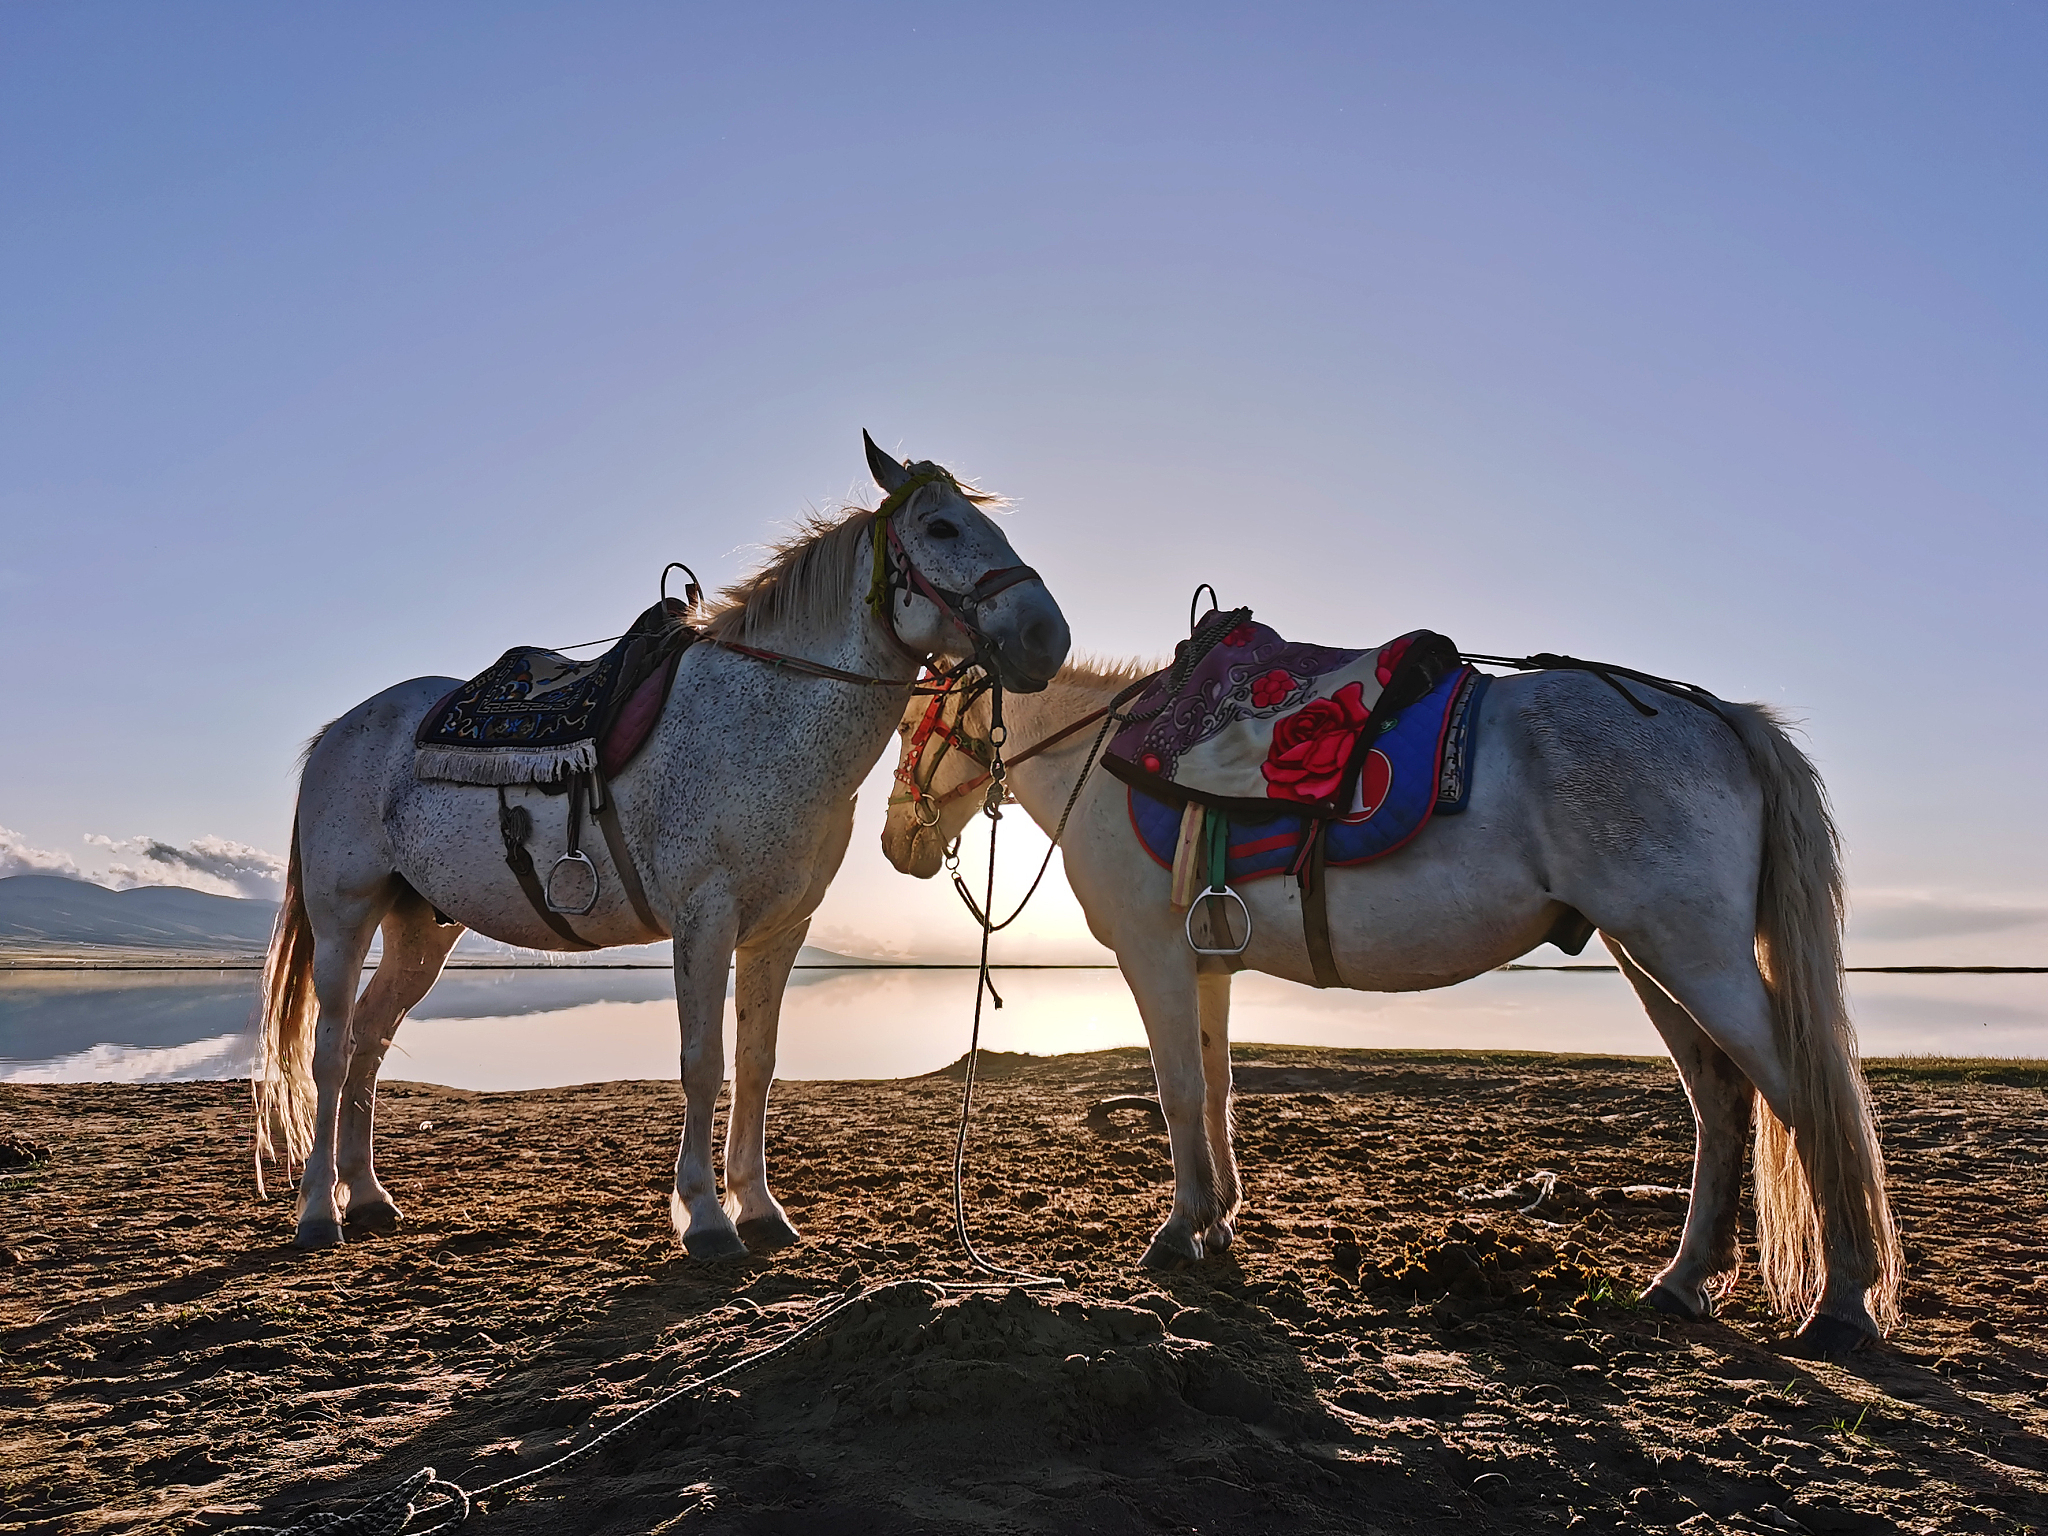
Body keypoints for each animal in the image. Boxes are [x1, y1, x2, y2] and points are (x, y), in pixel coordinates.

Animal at [255, 435, 1070, 1257]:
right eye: (940, 527)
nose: (1048, 638)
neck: (765, 718)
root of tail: (336, 734)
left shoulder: (780, 930)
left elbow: (757, 1061)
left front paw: (759, 1207)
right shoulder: (704, 920)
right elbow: (703, 1062)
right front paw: (706, 1216)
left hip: (420, 929)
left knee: (369, 1040)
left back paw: (366, 1196)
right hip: (345, 915)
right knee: (330, 1050)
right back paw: (318, 1209)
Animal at [880, 652, 1901, 1352]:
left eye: (915, 716)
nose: (897, 844)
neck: (1105, 762)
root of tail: (1720, 717)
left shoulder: (1154, 958)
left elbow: (1176, 1095)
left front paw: (1178, 1233)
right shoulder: (1205, 965)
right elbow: (1215, 1092)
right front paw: (1218, 1221)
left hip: (1691, 953)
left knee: (1807, 1101)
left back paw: (1842, 1302)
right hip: (1651, 955)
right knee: (1723, 1101)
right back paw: (1686, 1280)